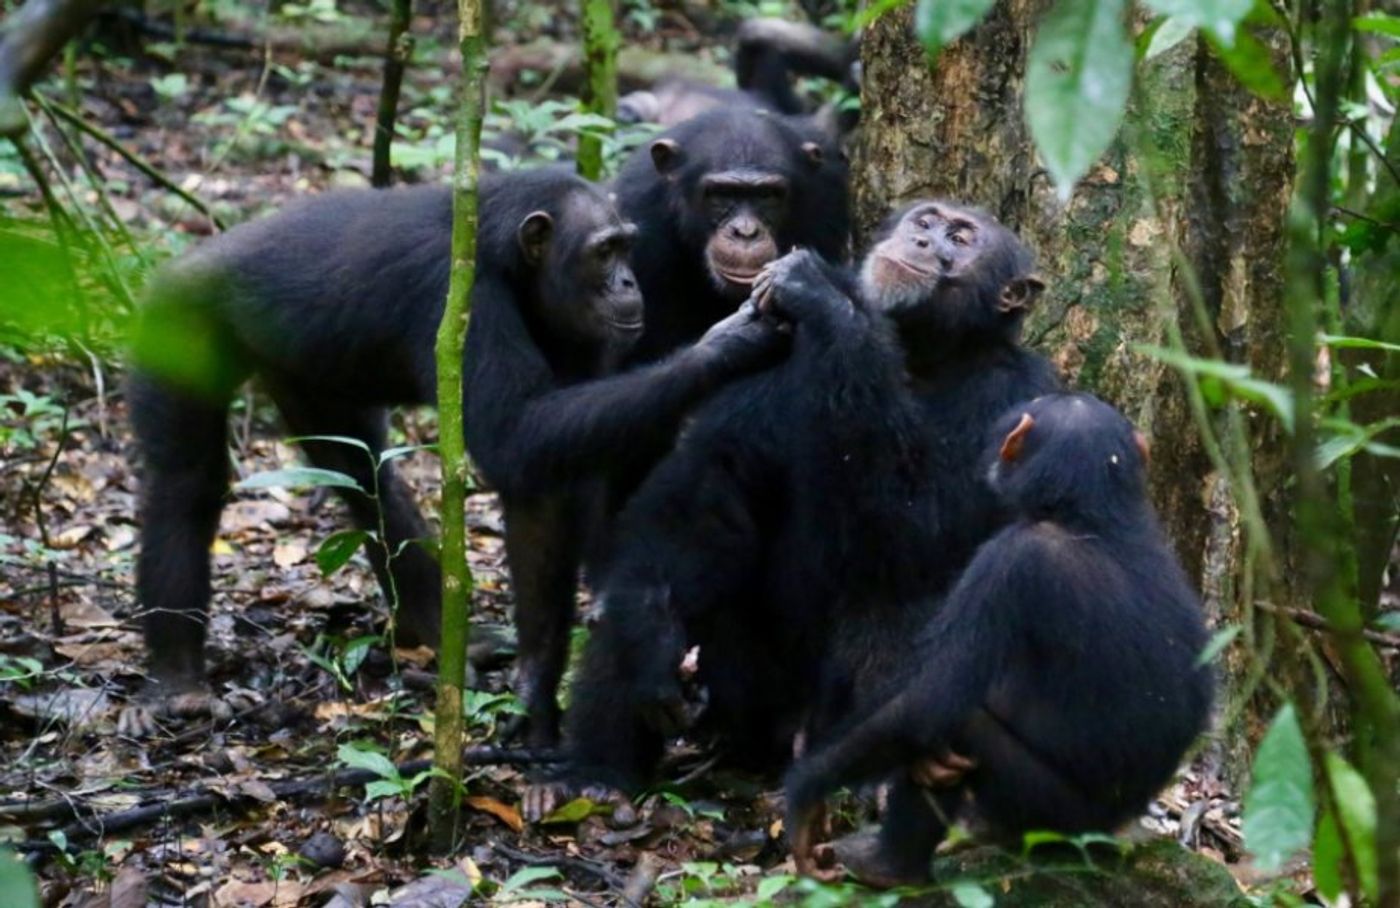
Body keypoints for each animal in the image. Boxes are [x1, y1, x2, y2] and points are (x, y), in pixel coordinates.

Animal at [120, 167, 789, 738]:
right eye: (604, 252)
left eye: (626, 247)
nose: (629, 282)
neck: (506, 259)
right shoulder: (457, 299)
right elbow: (518, 435)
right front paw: (724, 344)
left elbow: (540, 474)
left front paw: (533, 689)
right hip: (176, 325)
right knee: (187, 482)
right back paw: (178, 679)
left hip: (304, 371)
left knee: (367, 478)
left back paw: (437, 629)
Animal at [526, 200, 1058, 822]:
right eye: (925, 220)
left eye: (962, 237)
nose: (924, 240)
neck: (923, 357)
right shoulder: (773, 367)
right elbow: (708, 485)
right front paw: (649, 638)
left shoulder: (1021, 399)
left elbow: (931, 532)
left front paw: (820, 288)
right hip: (741, 694)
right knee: (651, 582)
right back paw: (594, 773)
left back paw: (881, 783)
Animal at [784, 391, 1220, 884]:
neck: (1088, 516)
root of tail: (1120, 828)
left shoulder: (1005, 562)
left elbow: (928, 698)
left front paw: (804, 798)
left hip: (1053, 814)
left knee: (961, 721)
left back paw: (887, 866)